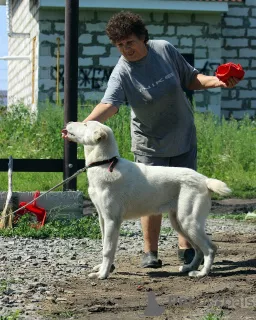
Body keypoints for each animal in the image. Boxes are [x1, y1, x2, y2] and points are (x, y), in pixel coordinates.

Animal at [62, 121, 232, 278]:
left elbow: (108, 250)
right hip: (179, 223)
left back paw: (201, 273)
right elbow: (104, 245)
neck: (104, 163)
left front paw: (103, 274)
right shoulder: (102, 218)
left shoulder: (112, 220)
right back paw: (189, 267)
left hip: (189, 222)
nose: (68, 122)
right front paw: (104, 268)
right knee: (198, 249)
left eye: (85, 124)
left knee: (210, 248)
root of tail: (204, 179)